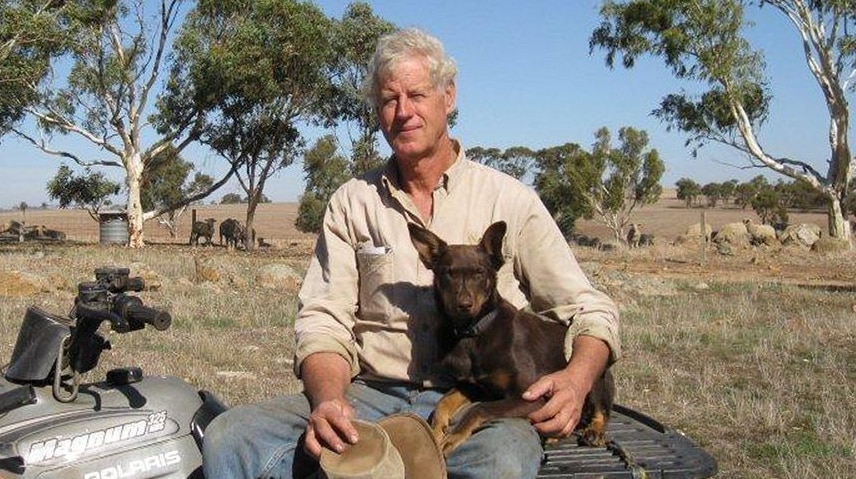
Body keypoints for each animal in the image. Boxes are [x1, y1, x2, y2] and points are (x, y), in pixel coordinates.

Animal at [410, 221, 616, 458]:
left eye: (480, 272)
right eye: (448, 273)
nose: (464, 305)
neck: (473, 332)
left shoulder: (532, 396)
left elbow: (479, 409)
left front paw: (452, 436)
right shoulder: (474, 386)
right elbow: (443, 402)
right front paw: (435, 431)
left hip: (595, 378)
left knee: (599, 410)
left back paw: (593, 432)